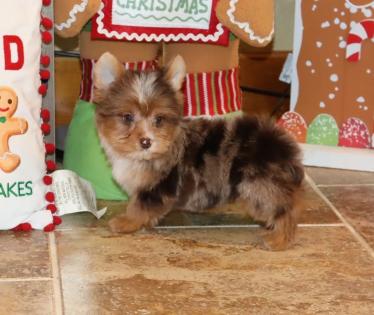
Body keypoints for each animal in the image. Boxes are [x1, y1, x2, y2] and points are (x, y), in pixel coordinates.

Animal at [93, 53, 304, 253]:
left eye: (159, 119)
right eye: (127, 117)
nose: (146, 142)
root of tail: (281, 146)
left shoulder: (157, 187)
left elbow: (138, 206)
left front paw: (126, 222)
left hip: (258, 187)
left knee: (284, 209)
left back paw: (279, 240)